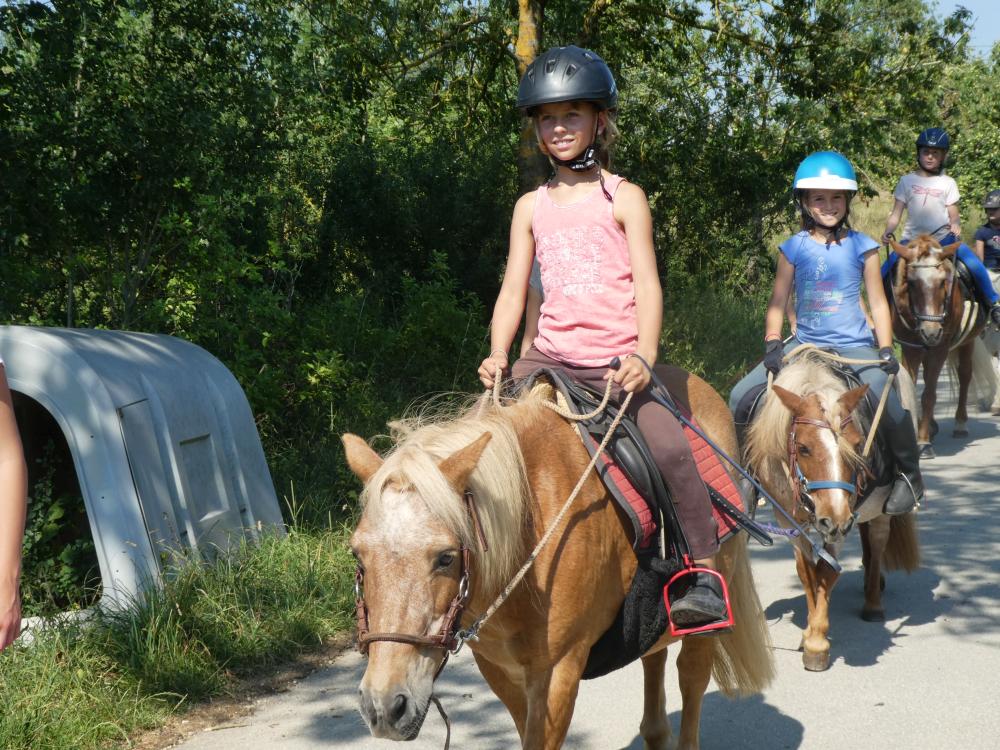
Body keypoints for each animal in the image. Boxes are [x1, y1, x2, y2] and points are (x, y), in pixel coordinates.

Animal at [343, 369, 774, 750]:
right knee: (655, 659)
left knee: (692, 678)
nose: (384, 706)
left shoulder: (558, 673)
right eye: (358, 555)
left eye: (446, 557)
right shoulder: (500, 671)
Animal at [743, 351, 921, 671]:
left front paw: (816, 643)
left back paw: (873, 602)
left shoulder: (840, 522)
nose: (835, 518)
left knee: (877, 542)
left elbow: (827, 571)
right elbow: (807, 572)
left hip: (878, 509)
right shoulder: (789, 520)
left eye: (858, 444)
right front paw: (808, 632)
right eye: (803, 448)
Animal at [887, 235, 986, 457]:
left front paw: (923, 442)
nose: (931, 332)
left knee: (965, 375)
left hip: (967, 342)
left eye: (942, 282)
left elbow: (929, 395)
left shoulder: (939, 349)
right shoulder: (911, 348)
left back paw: (959, 424)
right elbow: (912, 386)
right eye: (911, 283)